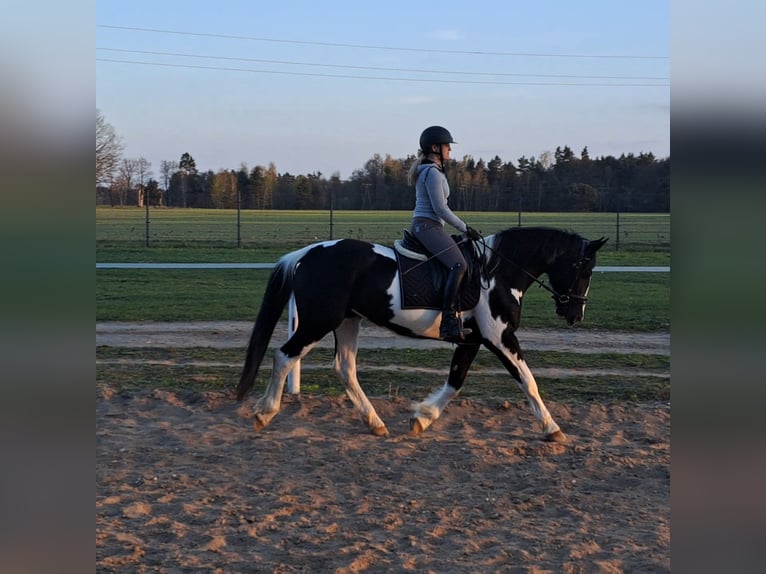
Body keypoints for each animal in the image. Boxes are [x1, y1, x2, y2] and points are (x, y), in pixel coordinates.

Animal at [236, 226, 607, 442]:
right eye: (585, 268)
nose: (575, 315)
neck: (497, 273)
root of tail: (307, 253)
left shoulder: (472, 339)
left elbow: (455, 381)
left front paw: (422, 418)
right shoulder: (499, 337)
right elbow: (528, 381)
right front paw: (552, 429)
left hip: (347, 321)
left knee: (344, 368)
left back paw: (375, 423)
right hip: (319, 321)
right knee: (285, 355)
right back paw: (264, 413)